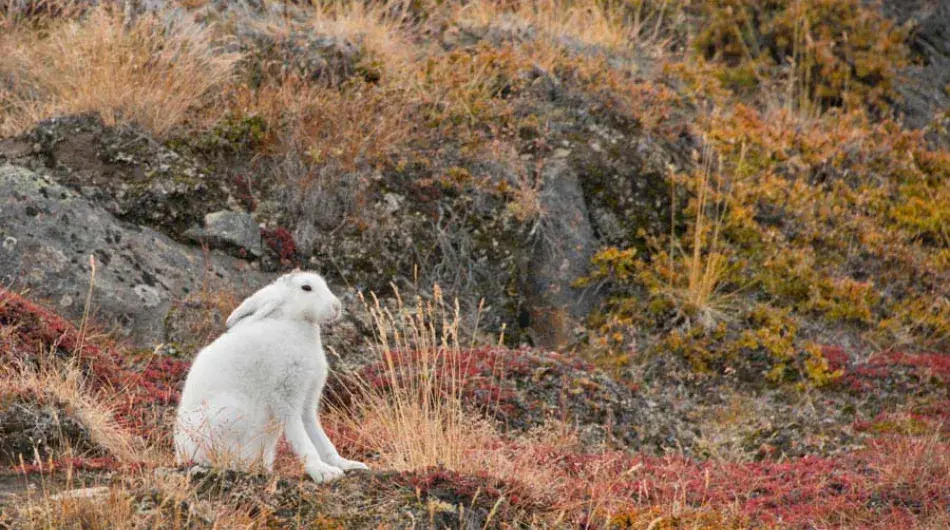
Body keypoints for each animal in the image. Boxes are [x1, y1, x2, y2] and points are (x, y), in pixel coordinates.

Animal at [173, 271, 368, 482]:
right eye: (306, 288)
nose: (337, 307)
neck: (295, 322)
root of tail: (181, 453)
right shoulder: (285, 395)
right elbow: (300, 437)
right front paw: (323, 472)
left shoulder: (307, 403)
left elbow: (320, 437)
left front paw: (348, 465)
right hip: (230, 413)